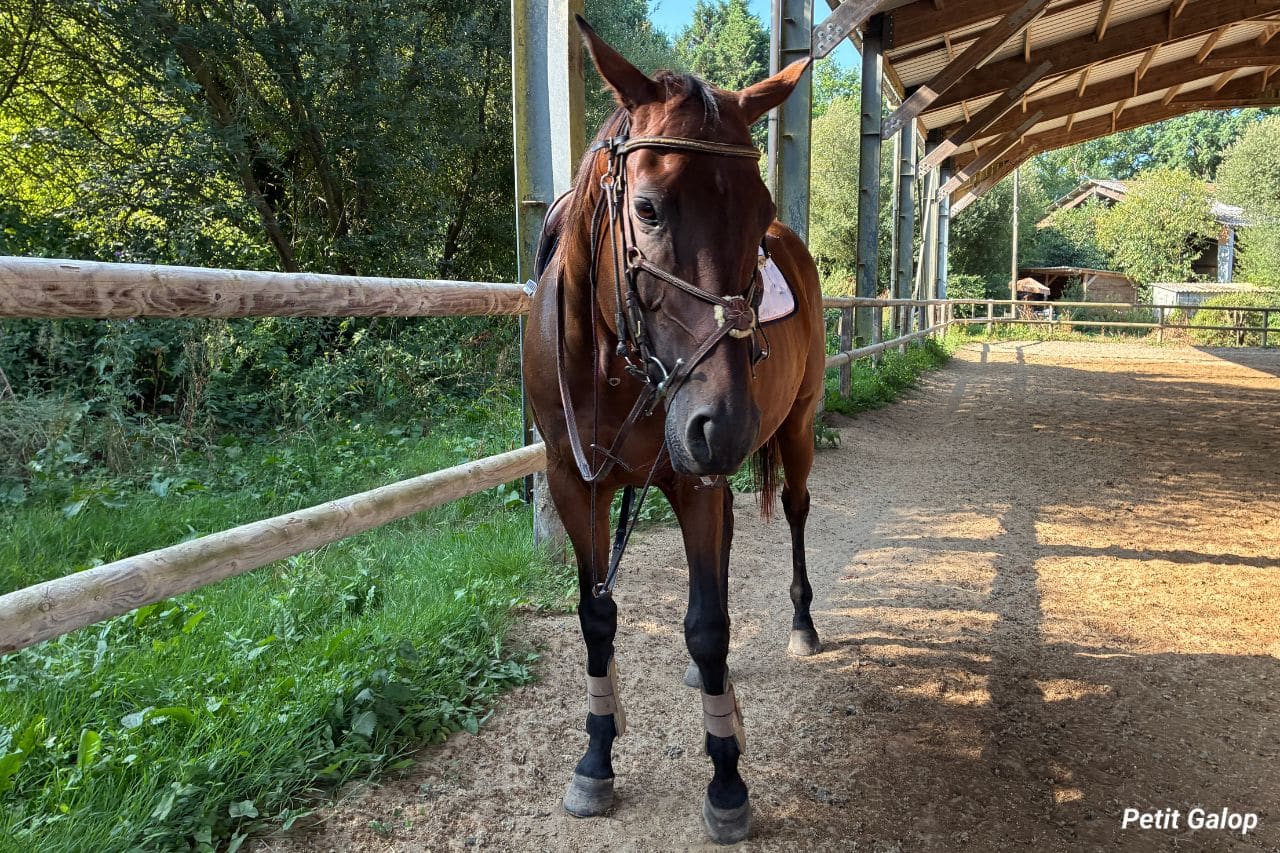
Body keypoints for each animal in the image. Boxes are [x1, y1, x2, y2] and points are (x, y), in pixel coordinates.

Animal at [521, 17, 825, 844]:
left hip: (797, 427)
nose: (724, 422)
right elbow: (596, 618)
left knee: (795, 513)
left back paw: (802, 623)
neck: (612, 364)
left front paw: (726, 777)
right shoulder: (575, 482)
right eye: (649, 208)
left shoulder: (694, 478)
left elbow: (708, 624)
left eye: (756, 212)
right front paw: (596, 758)